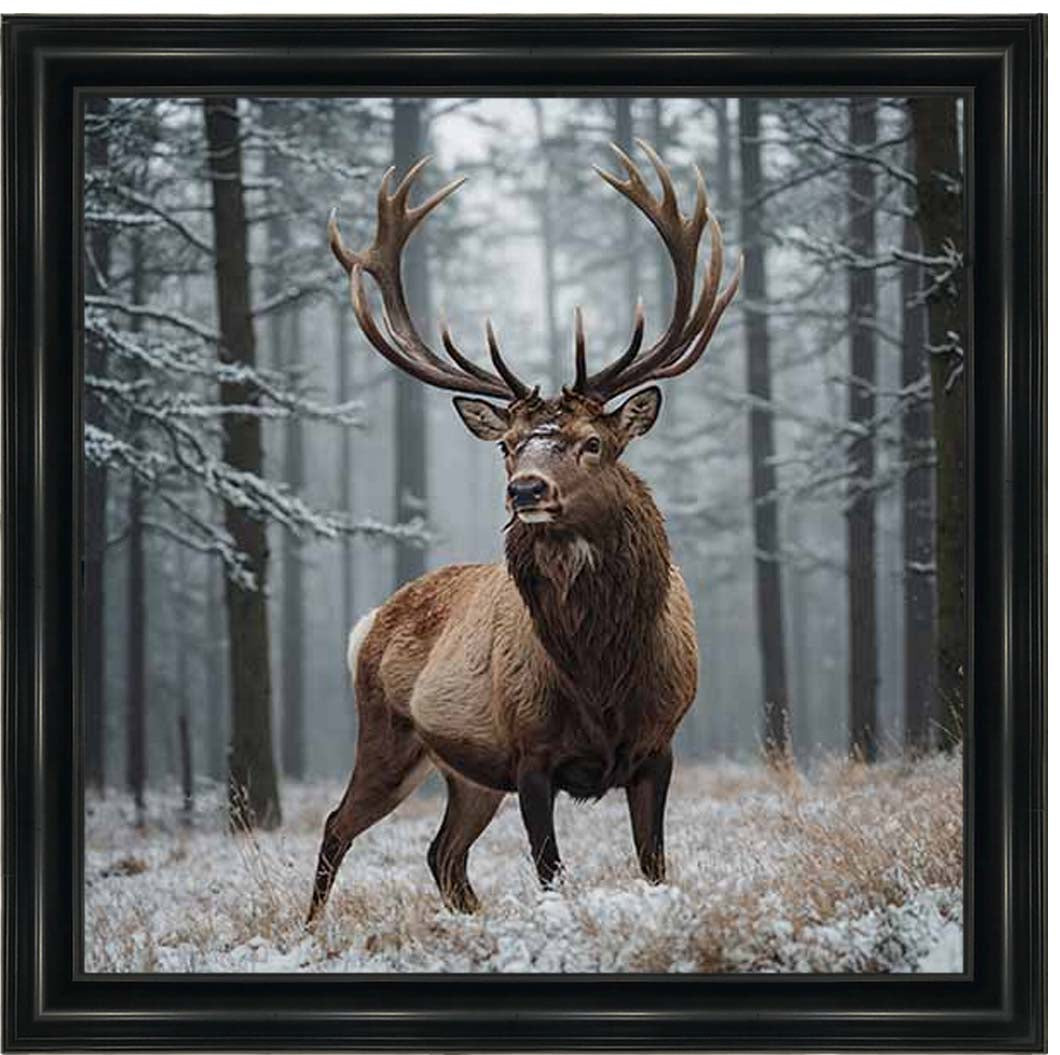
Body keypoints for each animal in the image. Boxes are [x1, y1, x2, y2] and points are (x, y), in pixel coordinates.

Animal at [307, 140, 741, 922]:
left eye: (593, 442)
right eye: (508, 446)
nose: (526, 490)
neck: (602, 676)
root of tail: (370, 621)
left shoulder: (660, 745)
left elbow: (654, 864)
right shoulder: (530, 753)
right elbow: (550, 871)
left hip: (468, 775)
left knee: (442, 854)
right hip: (389, 735)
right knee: (337, 824)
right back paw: (311, 929)